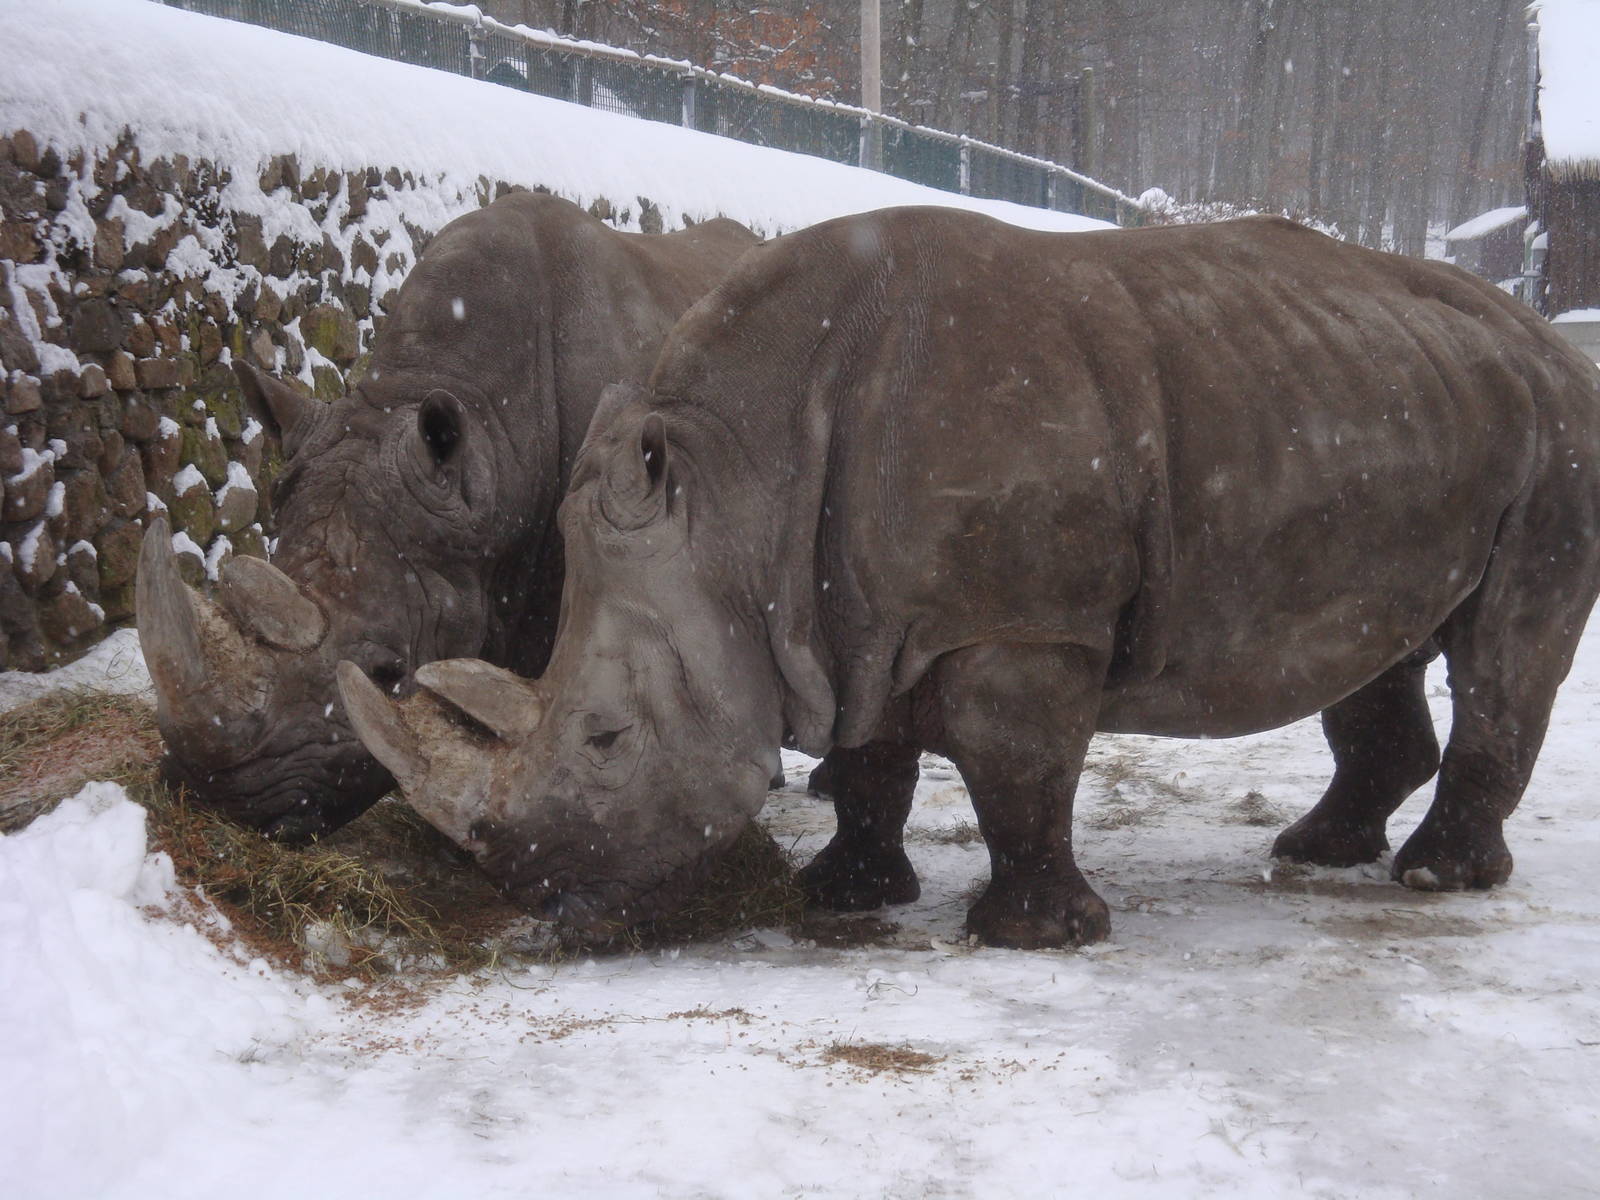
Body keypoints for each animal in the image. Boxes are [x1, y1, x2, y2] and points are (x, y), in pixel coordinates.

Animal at [339, 207, 1600, 948]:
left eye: (606, 739)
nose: (529, 888)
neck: (734, 488)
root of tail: (1552, 339)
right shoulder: (840, 616)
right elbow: (871, 757)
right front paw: (843, 896)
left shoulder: (1022, 621)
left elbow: (1014, 766)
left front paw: (1033, 934)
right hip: (1393, 401)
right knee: (1380, 644)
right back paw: (1314, 852)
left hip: (1559, 438)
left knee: (1504, 653)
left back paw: (1434, 882)